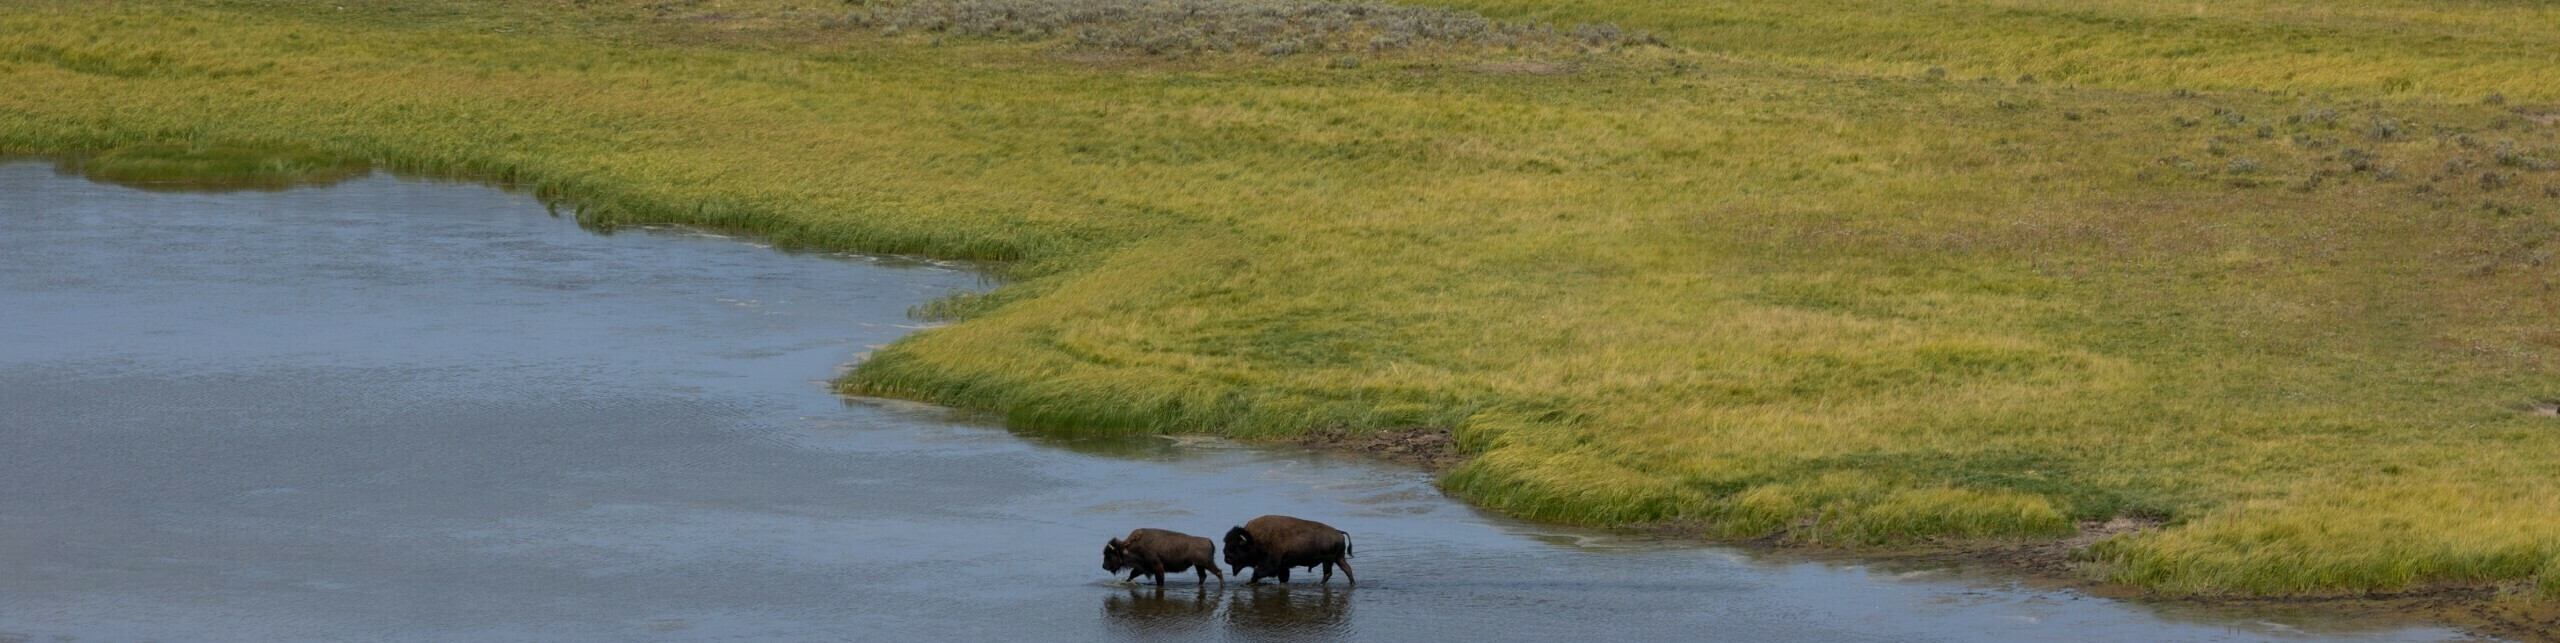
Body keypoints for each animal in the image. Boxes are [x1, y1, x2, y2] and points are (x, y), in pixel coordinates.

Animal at [1222, 515, 1354, 585]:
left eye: (1236, 547)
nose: (1226, 559)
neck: (1254, 539)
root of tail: (1339, 532)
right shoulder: (1282, 566)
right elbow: (1283, 577)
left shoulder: (1271, 565)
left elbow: (1257, 572)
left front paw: (1249, 582)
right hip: (1338, 558)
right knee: (1347, 569)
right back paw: (1352, 583)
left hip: (1328, 560)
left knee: (1328, 573)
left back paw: (1319, 584)